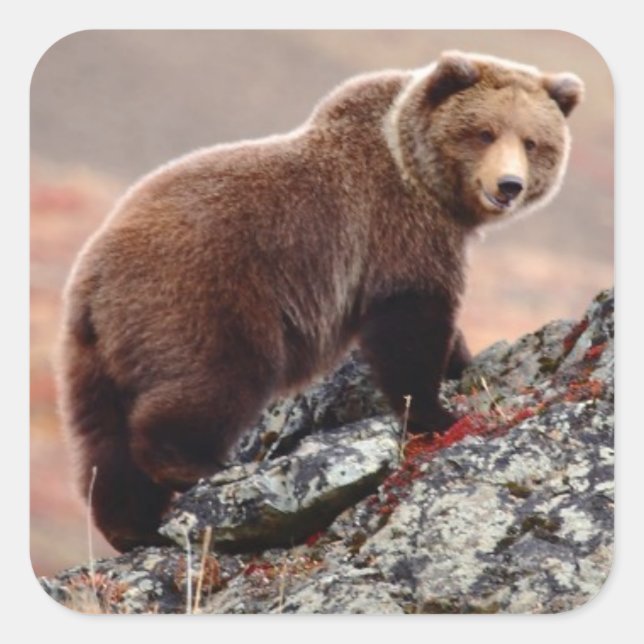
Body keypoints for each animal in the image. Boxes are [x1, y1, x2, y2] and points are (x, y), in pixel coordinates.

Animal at [57, 51, 583, 552]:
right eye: (484, 132)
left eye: (532, 142)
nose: (508, 185)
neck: (422, 177)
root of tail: (93, 277)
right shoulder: (396, 228)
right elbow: (409, 324)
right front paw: (439, 413)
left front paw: (460, 365)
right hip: (202, 298)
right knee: (216, 378)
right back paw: (193, 467)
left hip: (95, 354)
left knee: (102, 439)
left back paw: (130, 527)